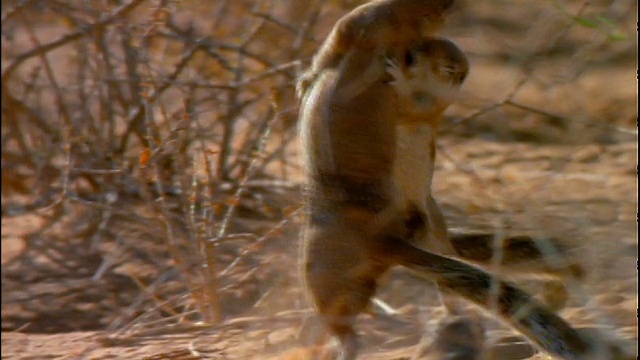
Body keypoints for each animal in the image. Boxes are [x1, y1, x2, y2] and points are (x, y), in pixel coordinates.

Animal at [298, 0, 628, 360]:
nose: (410, 58)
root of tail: (384, 239)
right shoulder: (362, 28)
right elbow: (329, 54)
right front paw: (306, 82)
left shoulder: (370, 29)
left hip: (324, 261)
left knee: (342, 315)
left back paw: (348, 342)